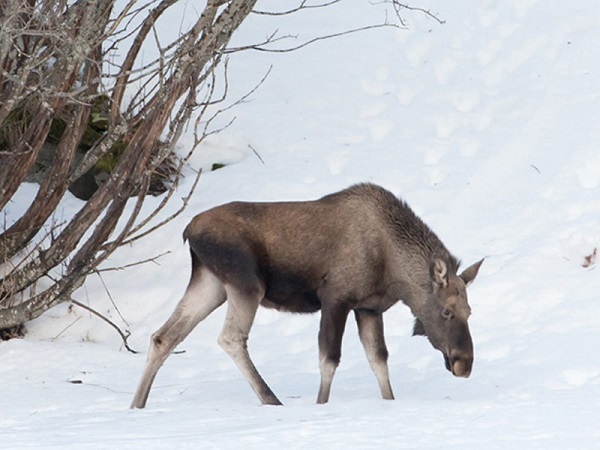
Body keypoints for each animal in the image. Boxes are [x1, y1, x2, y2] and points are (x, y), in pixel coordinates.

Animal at [131, 184, 482, 408]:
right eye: (447, 311)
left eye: (470, 312)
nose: (464, 364)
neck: (392, 268)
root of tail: (188, 231)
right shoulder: (335, 298)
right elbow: (329, 359)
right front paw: (320, 404)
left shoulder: (368, 308)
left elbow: (378, 360)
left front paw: (389, 402)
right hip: (247, 284)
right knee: (230, 337)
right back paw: (271, 399)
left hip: (212, 283)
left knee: (164, 336)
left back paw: (137, 404)